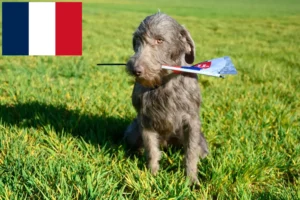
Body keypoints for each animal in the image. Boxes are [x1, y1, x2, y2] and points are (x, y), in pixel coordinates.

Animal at [124, 12, 209, 184]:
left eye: (160, 40)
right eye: (137, 40)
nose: (135, 70)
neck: (164, 82)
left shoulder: (192, 121)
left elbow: (191, 153)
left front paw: (192, 180)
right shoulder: (145, 120)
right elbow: (151, 151)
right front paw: (152, 176)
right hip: (132, 133)